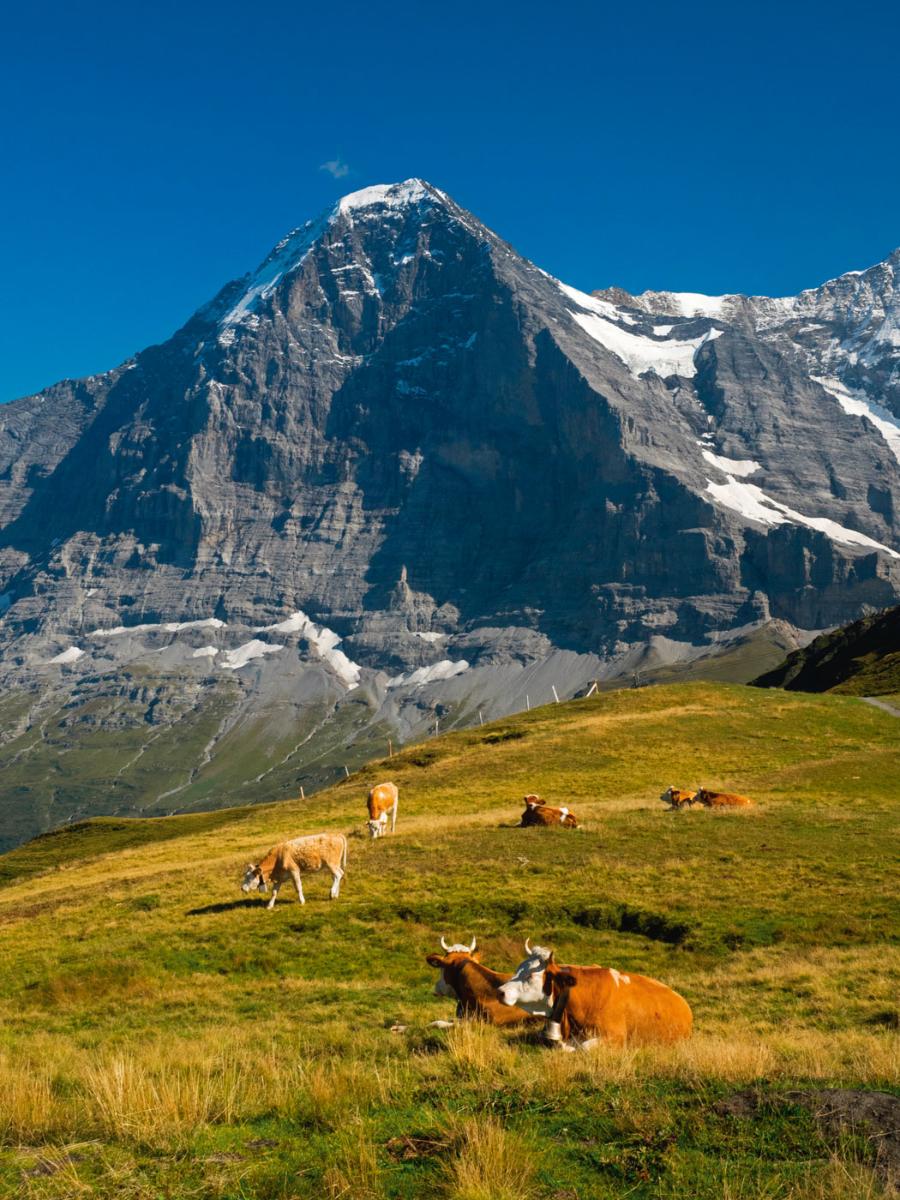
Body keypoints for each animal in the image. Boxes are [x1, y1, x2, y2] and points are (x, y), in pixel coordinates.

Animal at [496, 936, 696, 1051]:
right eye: (518, 969)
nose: (500, 992)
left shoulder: (617, 1037)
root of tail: (683, 1003)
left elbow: (584, 1048)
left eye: (530, 975)